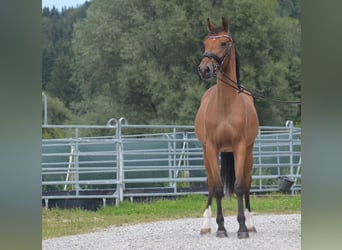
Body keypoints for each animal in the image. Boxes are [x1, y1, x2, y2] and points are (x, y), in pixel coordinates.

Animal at [195, 17, 260, 238]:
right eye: (205, 42)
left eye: (223, 43)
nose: (204, 69)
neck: (225, 105)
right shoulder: (211, 148)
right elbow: (216, 188)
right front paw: (221, 228)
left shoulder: (240, 147)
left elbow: (239, 187)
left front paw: (242, 228)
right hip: (207, 154)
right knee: (209, 182)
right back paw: (205, 225)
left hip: (248, 152)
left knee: (247, 182)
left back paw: (250, 223)